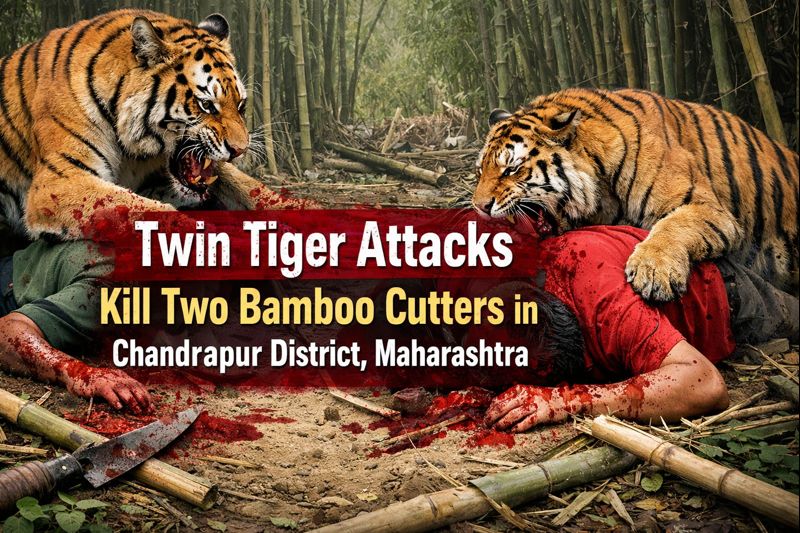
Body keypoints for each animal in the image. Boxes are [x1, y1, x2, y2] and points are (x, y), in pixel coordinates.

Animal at [0, 9, 313, 249]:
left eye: (241, 104)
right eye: (206, 105)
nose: (240, 150)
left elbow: (248, 185)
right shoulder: (58, 182)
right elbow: (146, 211)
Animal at [473, 87, 799, 302]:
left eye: (511, 169)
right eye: (479, 172)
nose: (479, 206)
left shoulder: (707, 207)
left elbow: (672, 225)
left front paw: (653, 272)